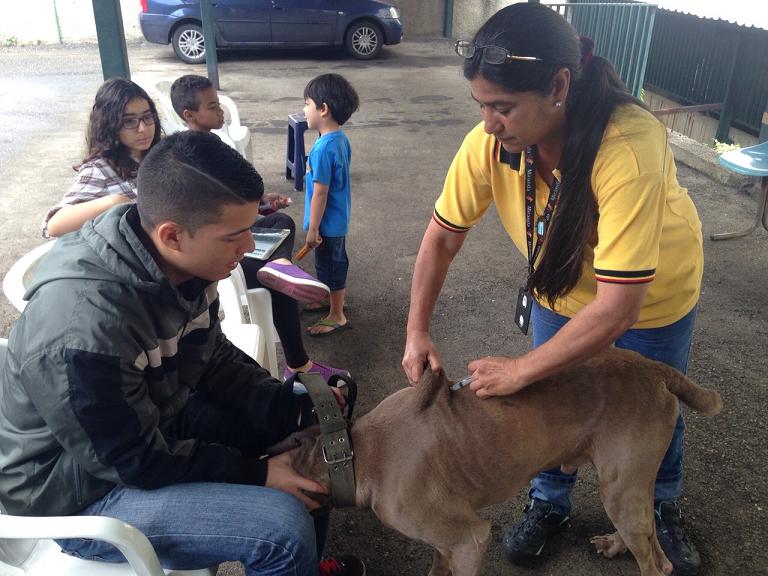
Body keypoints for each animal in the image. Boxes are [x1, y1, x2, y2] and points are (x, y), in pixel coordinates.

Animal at [286, 346, 720, 576]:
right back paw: (615, 544)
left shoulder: (469, 539)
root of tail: (654, 369)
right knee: (645, 533)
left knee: (657, 562)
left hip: (622, 482)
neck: (350, 451)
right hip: (626, 482)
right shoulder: (443, 542)